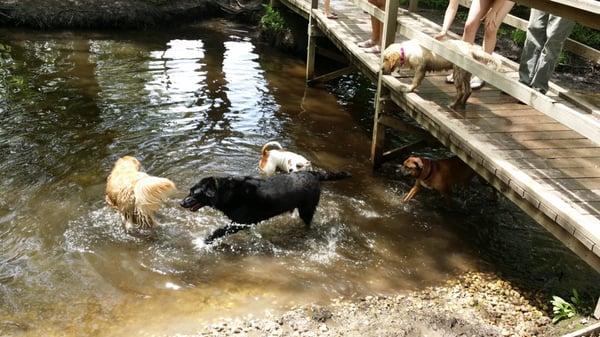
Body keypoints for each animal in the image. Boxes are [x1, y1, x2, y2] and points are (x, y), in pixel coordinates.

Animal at [180, 171, 350, 242]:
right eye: (189, 190)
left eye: (194, 193)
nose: (181, 203)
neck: (225, 192)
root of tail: (313, 174)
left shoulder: (241, 223)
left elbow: (220, 231)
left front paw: (207, 240)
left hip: (306, 209)